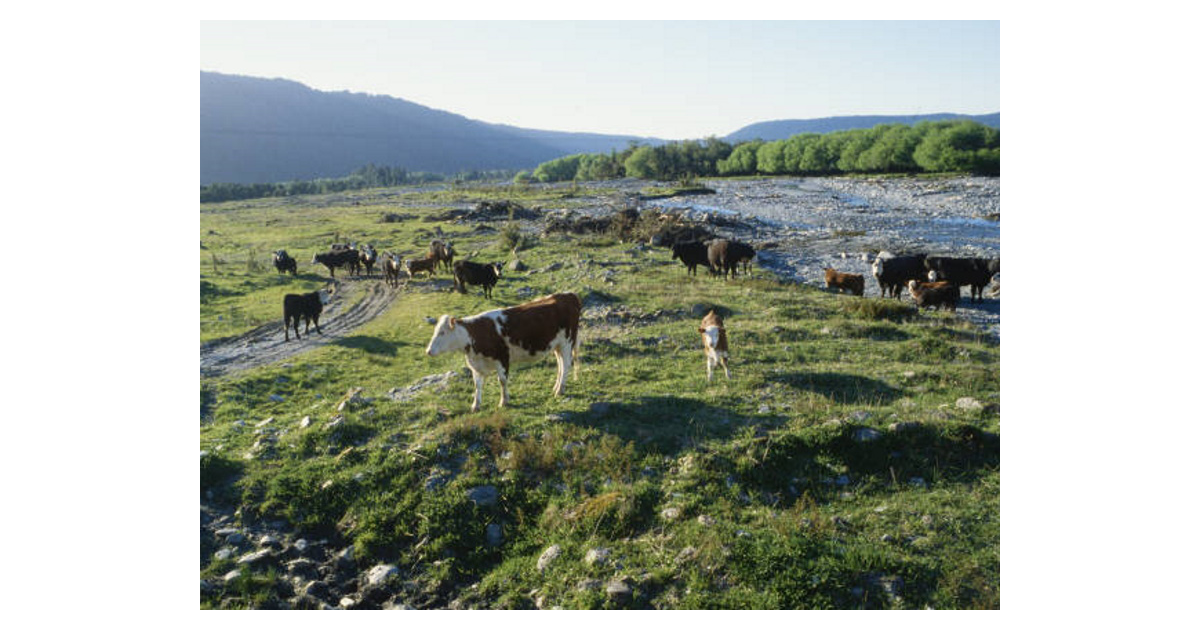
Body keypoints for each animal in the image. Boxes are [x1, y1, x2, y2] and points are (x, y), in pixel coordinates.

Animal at [424, 291, 583, 410]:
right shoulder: (476, 364)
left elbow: (502, 381)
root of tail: (569, 295)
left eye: (442, 332)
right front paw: (476, 405)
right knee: (561, 365)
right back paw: (556, 387)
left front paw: (504, 401)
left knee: (566, 365)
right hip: (557, 345)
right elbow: (477, 385)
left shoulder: (503, 358)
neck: (475, 334)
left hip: (567, 342)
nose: (428, 351)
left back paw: (560, 390)